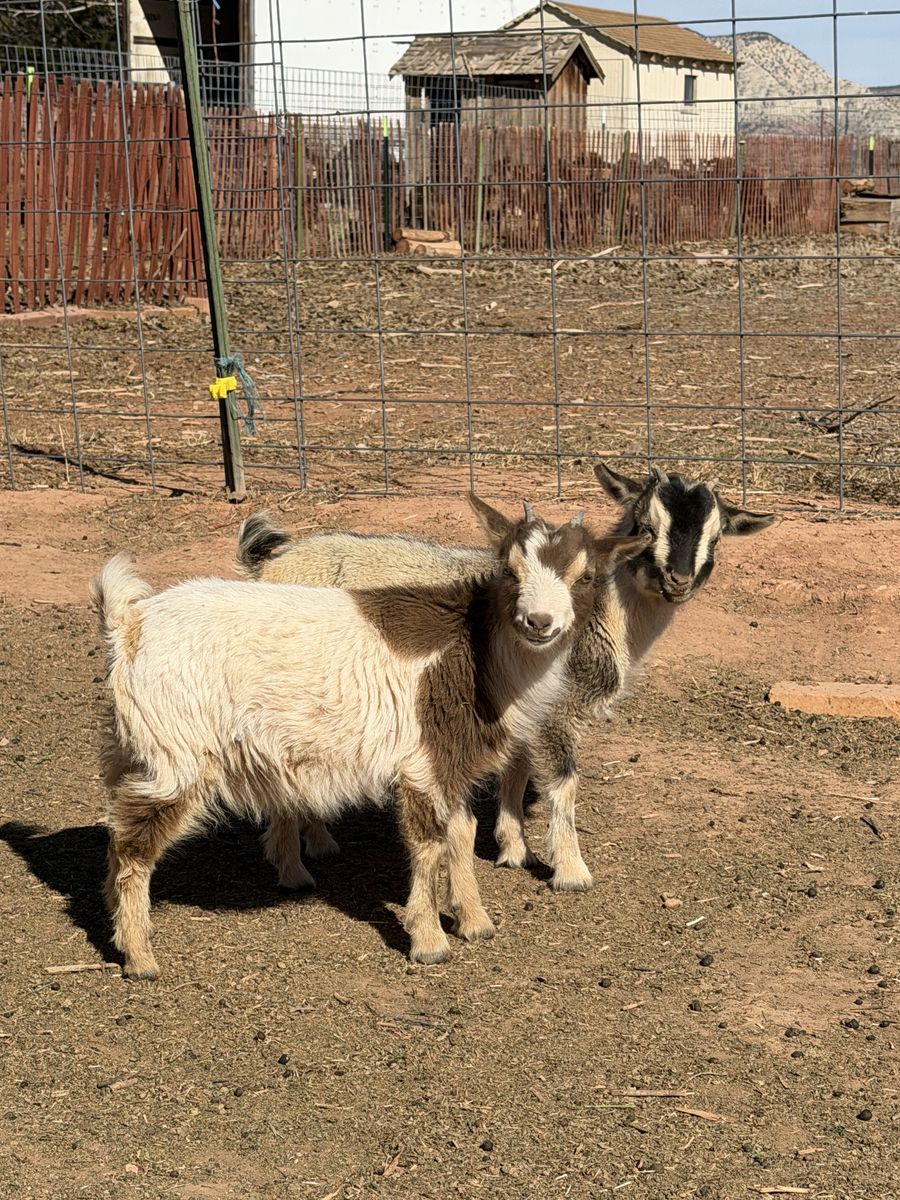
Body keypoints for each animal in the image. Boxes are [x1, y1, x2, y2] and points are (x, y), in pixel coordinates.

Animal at [92, 497, 649, 978]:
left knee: (118, 830)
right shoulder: (421, 763)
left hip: (139, 750)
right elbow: (428, 842)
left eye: (586, 577)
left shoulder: (450, 762)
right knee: (133, 844)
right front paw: (429, 941)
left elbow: (462, 831)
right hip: (177, 755)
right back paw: (139, 956)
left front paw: (474, 922)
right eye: (510, 571)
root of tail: (130, 624)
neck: (477, 655)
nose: (539, 622)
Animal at [236, 464, 775, 891]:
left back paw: (319, 840)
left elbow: (516, 770)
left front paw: (514, 848)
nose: (678, 582)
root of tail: (268, 569)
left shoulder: (525, 707)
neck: (606, 620)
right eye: (645, 526)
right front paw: (572, 872)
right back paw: (294, 867)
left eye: (716, 537)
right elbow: (564, 783)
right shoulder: (557, 710)